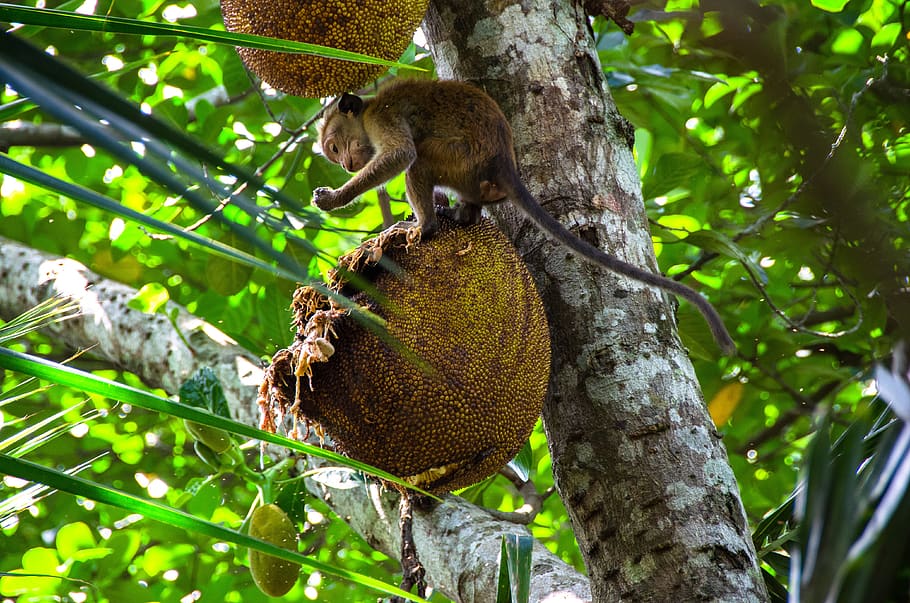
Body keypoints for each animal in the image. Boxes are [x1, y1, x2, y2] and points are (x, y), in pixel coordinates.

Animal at [312, 79, 735, 356]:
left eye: (334, 146)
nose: (346, 163)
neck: (367, 111)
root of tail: (504, 162)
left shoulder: (383, 118)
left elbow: (401, 155)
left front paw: (335, 198)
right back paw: (461, 213)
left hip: (460, 158)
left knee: (419, 161)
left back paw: (425, 225)